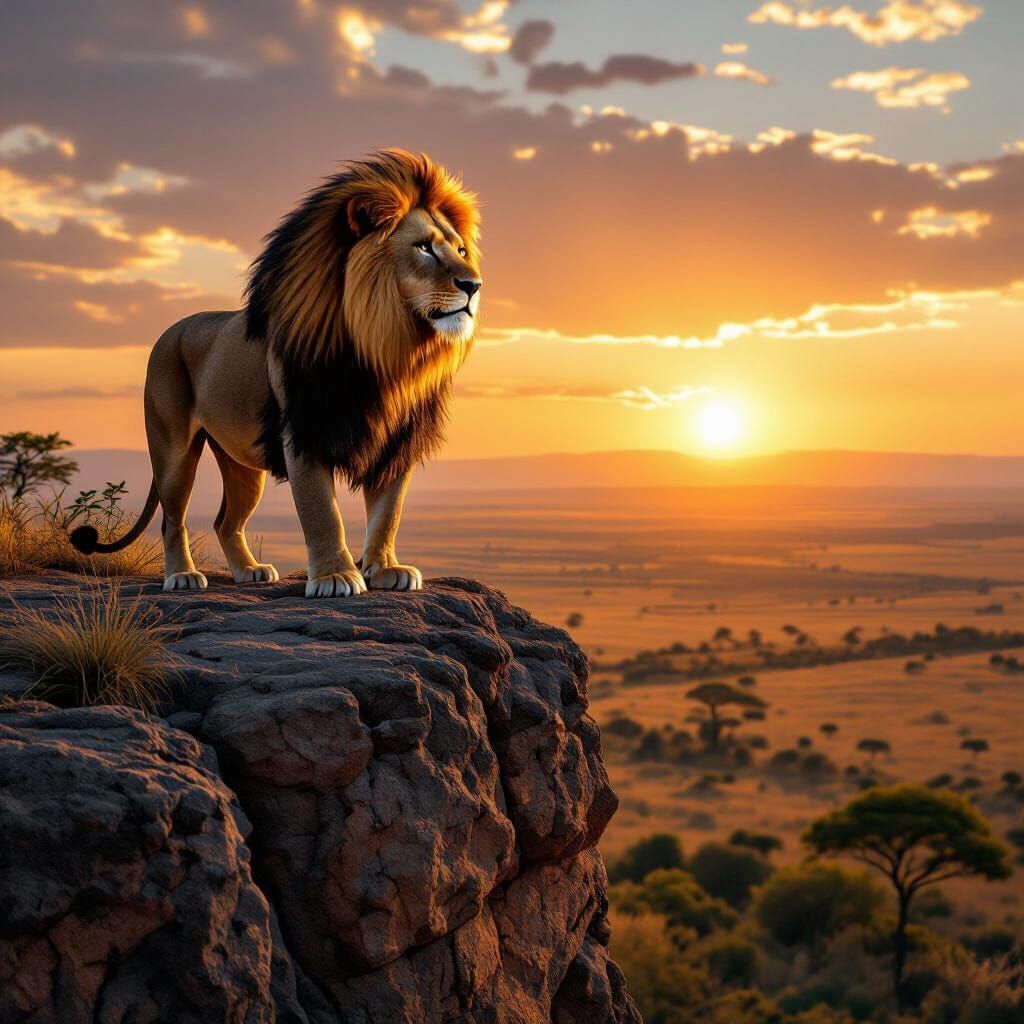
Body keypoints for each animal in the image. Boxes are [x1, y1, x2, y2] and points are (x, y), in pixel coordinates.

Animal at [70, 149, 482, 597]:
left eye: (461, 250)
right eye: (424, 247)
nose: (474, 285)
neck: (388, 352)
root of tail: (172, 330)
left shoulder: (396, 440)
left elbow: (389, 512)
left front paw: (386, 568)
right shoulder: (303, 432)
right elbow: (322, 512)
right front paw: (336, 576)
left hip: (242, 463)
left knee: (225, 521)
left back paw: (249, 570)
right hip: (173, 449)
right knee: (171, 519)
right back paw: (181, 576)